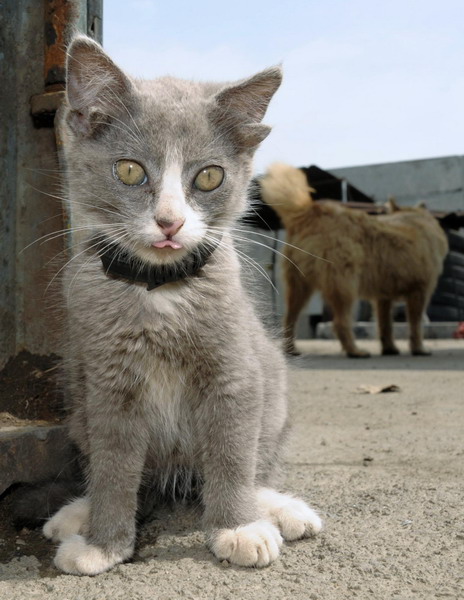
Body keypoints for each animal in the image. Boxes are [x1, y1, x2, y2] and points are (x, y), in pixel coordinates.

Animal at [44, 34, 322, 576]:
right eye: (130, 170)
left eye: (210, 177)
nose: (169, 221)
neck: (159, 291)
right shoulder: (107, 381)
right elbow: (113, 465)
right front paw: (103, 543)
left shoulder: (234, 368)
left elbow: (233, 451)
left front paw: (238, 527)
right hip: (76, 397)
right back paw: (78, 511)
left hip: (274, 391)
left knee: (255, 461)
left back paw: (276, 507)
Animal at [260, 162, 448, 356]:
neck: (413, 218)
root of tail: (310, 212)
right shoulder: (420, 289)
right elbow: (416, 324)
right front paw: (418, 348)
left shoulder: (384, 295)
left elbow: (385, 323)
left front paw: (389, 347)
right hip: (344, 282)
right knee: (340, 321)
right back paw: (354, 350)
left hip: (299, 282)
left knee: (290, 317)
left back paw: (291, 349)